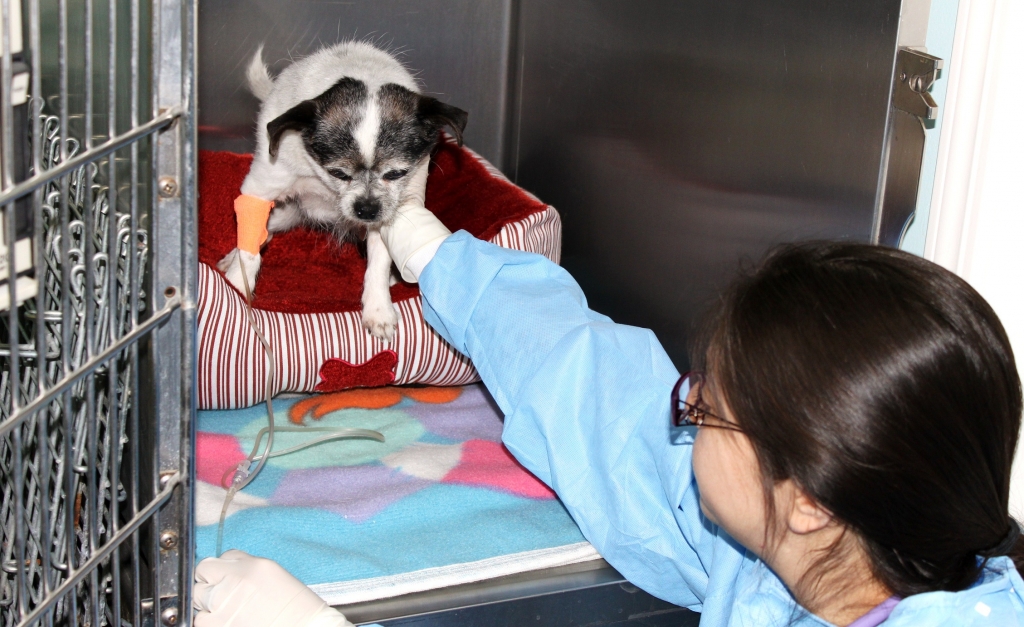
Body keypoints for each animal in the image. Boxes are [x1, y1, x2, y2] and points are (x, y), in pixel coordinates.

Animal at [222, 40, 468, 340]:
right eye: (338, 173)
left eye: (397, 173)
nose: (366, 209)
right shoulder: (260, 190)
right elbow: (248, 251)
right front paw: (236, 287)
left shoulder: (388, 214)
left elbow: (378, 262)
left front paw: (378, 310)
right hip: (284, 214)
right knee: (261, 233)